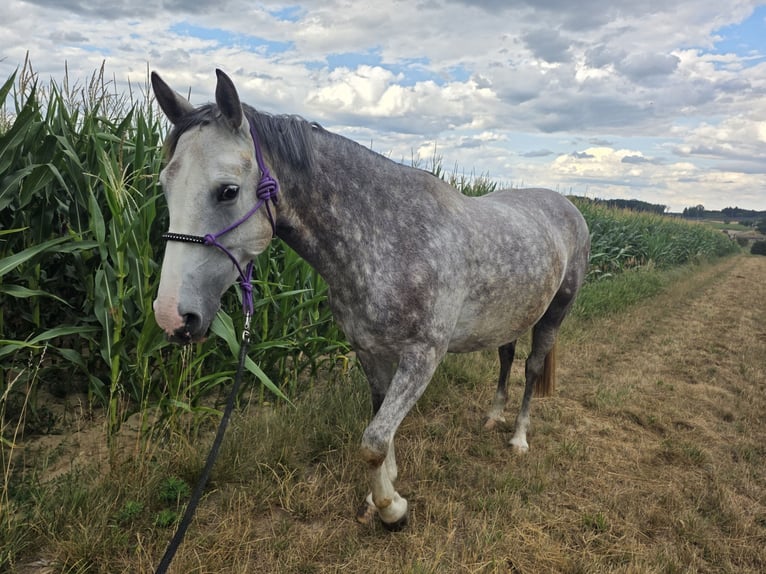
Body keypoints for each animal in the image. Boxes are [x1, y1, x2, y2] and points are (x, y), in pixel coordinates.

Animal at [150, 69, 591, 531]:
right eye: (164, 185)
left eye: (228, 191)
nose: (172, 316)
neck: (387, 237)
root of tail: (568, 206)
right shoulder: (368, 350)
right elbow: (381, 424)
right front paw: (382, 491)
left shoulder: (423, 356)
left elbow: (374, 439)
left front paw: (392, 509)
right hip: (511, 316)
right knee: (506, 358)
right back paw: (493, 417)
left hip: (555, 312)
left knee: (532, 367)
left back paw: (519, 438)